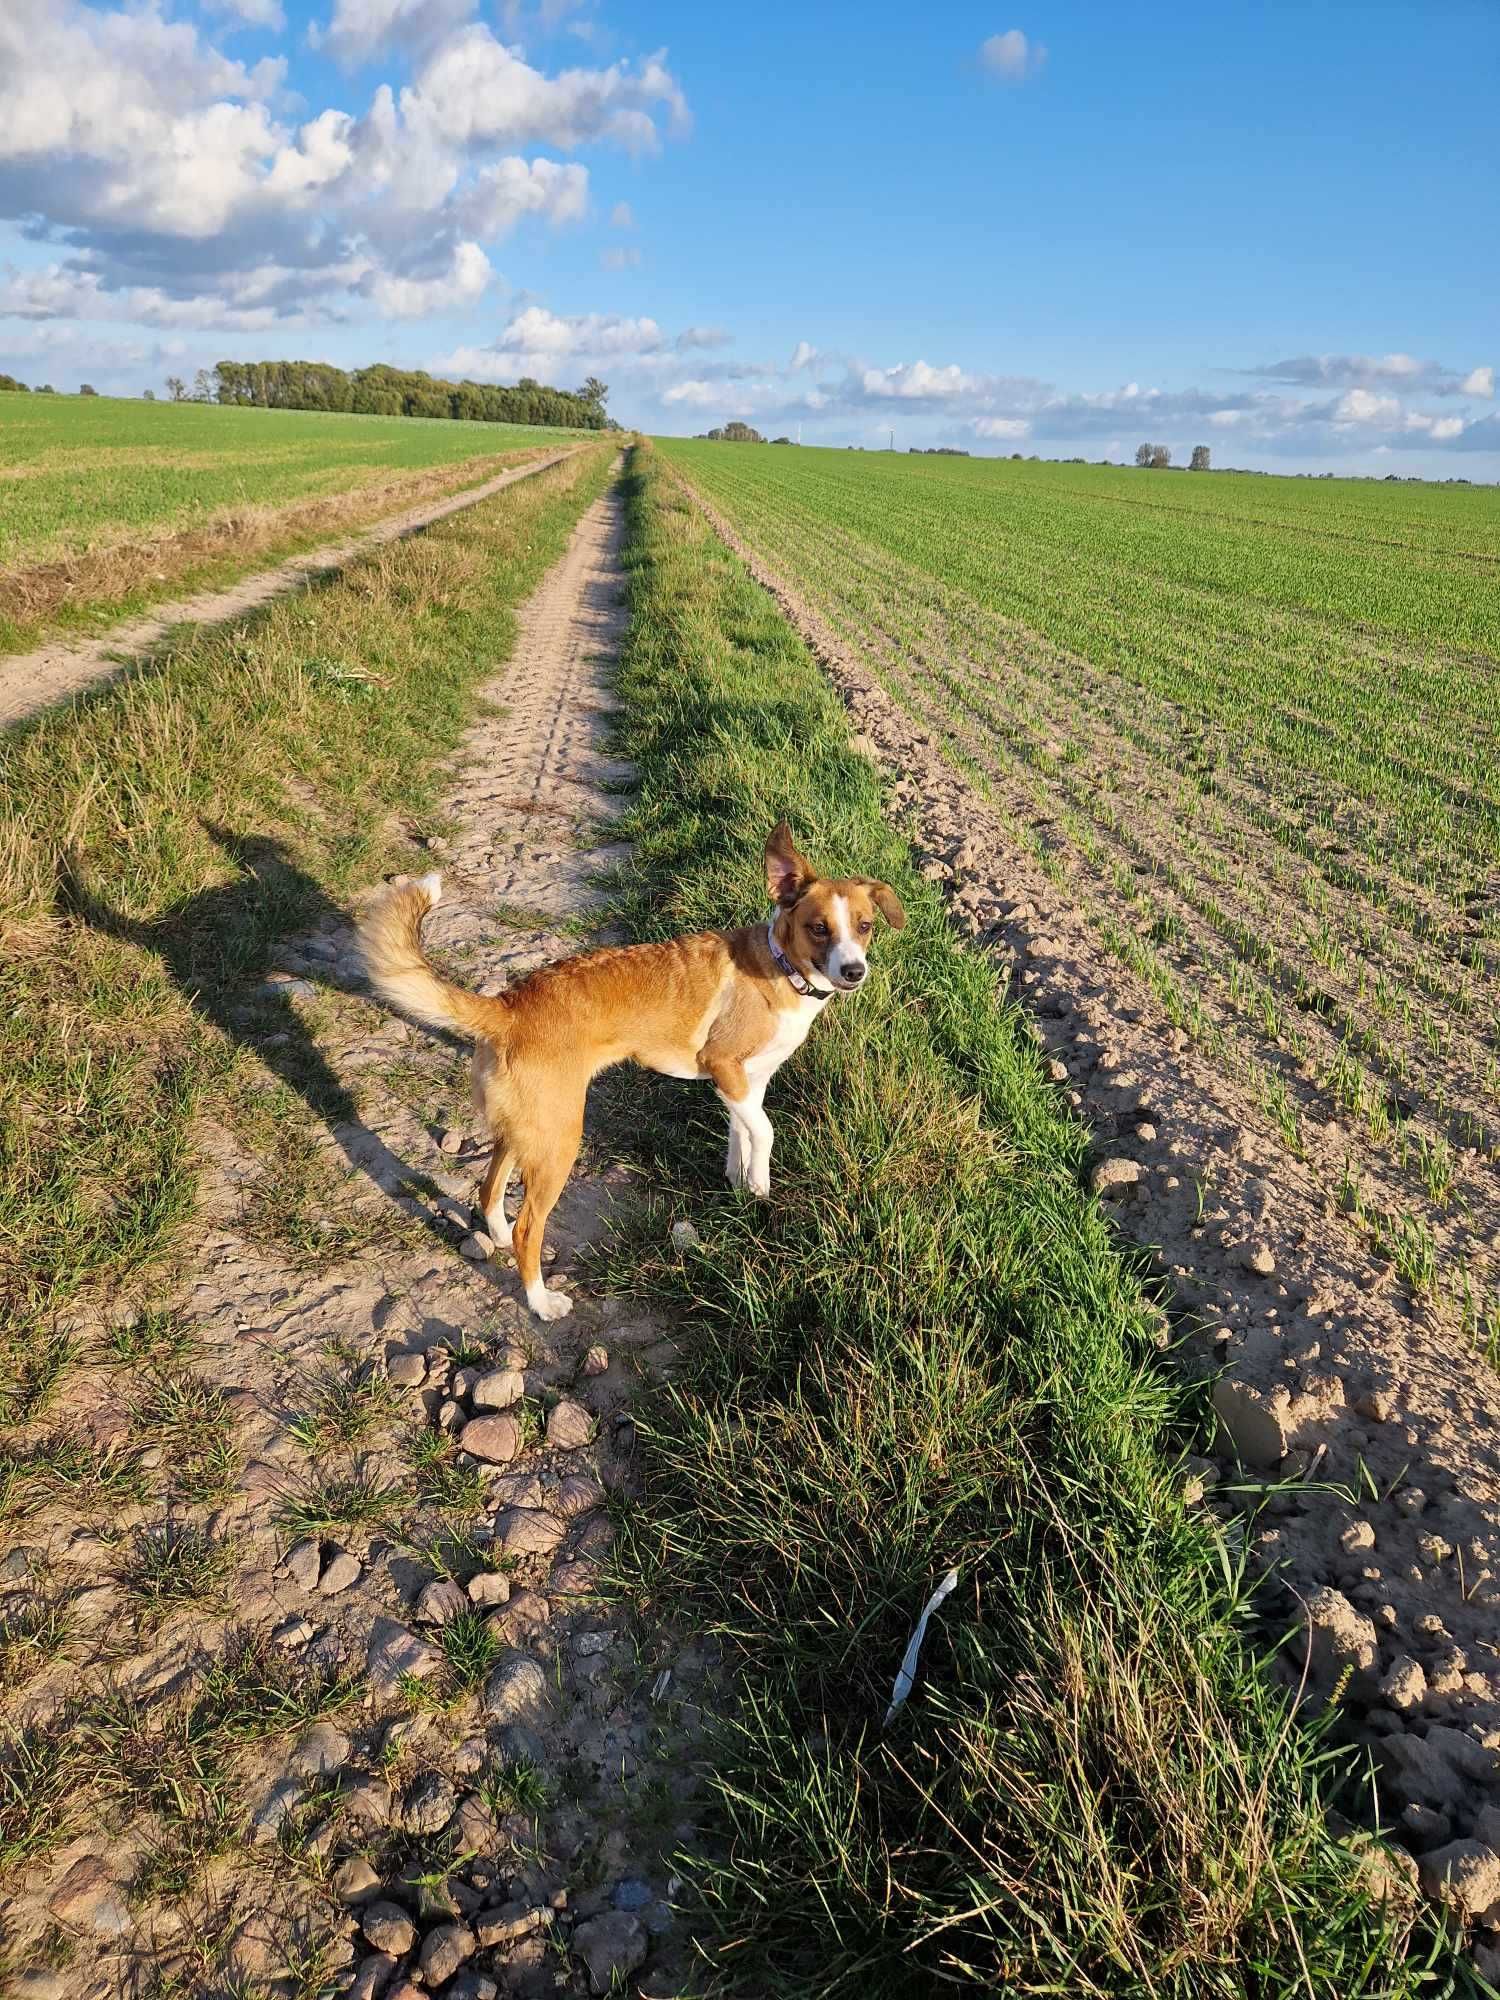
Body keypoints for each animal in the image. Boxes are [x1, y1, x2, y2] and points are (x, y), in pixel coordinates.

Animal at [358, 820, 904, 1320]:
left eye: (864, 926)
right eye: (819, 928)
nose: (854, 971)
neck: (780, 967)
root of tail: (509, 1005)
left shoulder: (745, 1084)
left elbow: (741, 1133)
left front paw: (738, 1184)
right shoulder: (726, 1068)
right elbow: (765, 1134)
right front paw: (761, 1189)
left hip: (525, 1128)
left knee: (490, 1192)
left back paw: (499, 1238)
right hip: (559, 1140)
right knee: (529, 1227)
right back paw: (541, 1302)